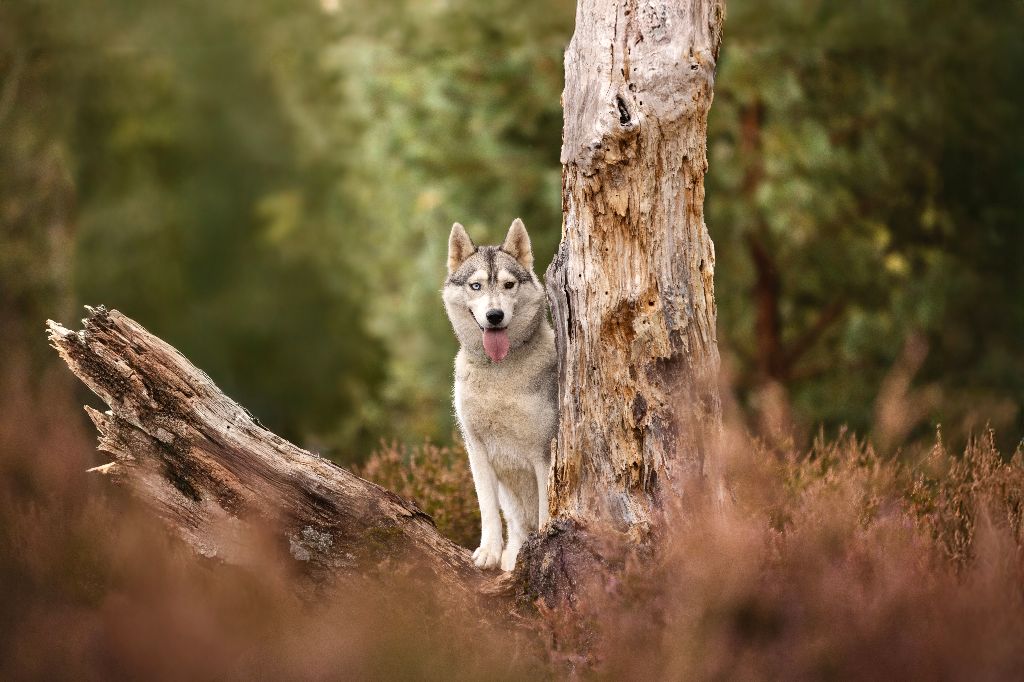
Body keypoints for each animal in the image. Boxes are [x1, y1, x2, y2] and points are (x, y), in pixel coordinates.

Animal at [444, 218, 557, 569]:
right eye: (476, 286)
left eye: (508, 285)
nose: (495, 316)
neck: (499, 373)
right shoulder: (476, 450)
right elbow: (488, 511)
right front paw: (488, 553)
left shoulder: (542, 454)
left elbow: (546, 511)